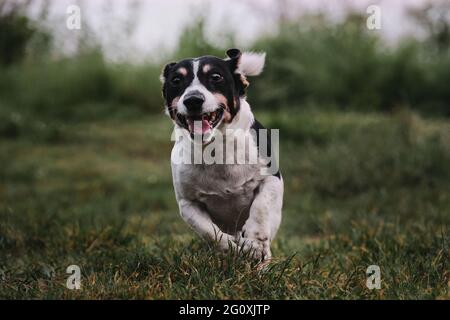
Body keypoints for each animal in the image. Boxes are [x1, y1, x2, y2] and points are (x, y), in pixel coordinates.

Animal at [160, 49, 284, 260]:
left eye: (216, 77)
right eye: (176, 80)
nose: (193, 100)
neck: (216, 147)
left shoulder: (272, 179)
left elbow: (261, 206)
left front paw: (255, 241)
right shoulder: (188, 203)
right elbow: (210, 232)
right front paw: (235, 248)